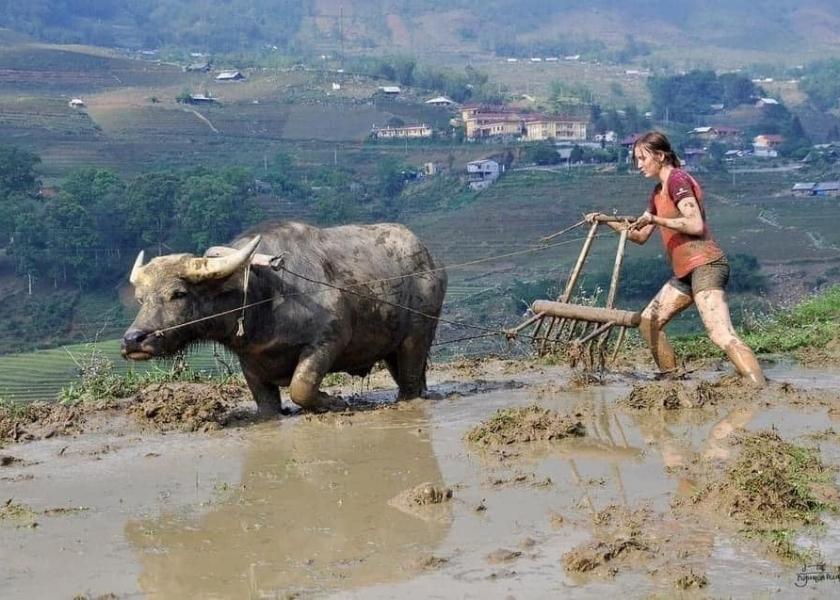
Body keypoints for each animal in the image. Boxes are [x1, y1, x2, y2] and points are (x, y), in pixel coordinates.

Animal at [121, 221, 447, 416]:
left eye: (178, 293)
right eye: (141, 298)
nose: (133, 340)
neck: (263, 295)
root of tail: (431, 261)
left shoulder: (328, 340)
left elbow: (301, 387)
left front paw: (334, 402)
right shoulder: (250, 362)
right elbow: (266, 405)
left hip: (418, 333)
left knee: (410, 378)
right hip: (391, 344)